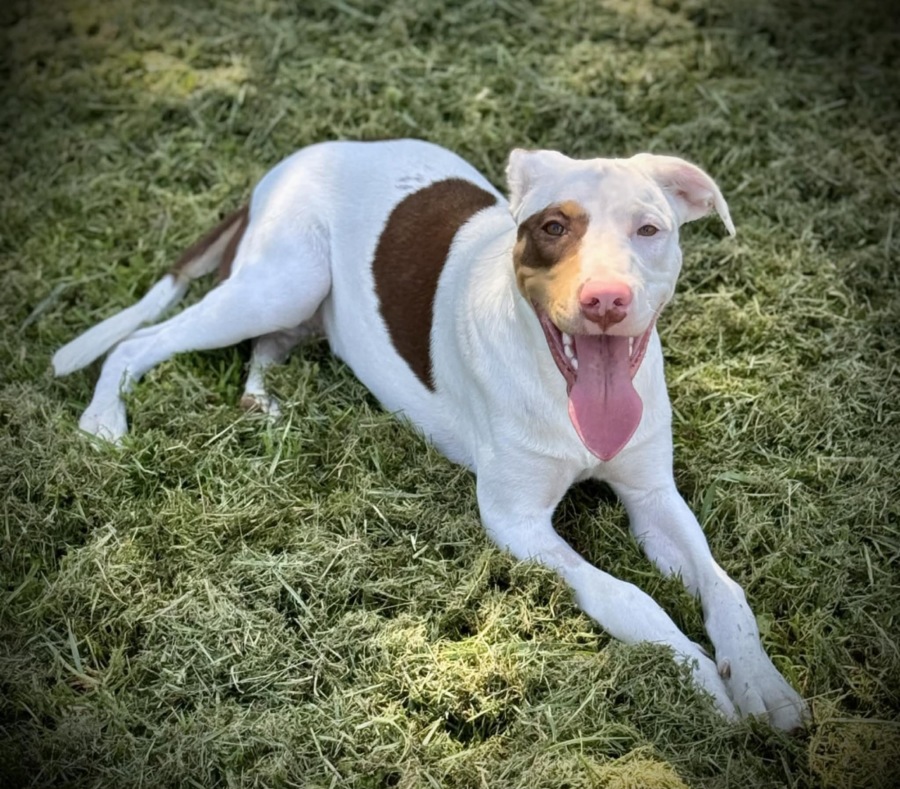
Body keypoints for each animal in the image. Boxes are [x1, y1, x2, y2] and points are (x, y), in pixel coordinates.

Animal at [53, 139, 808, 729]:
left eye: (649, 229)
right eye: (553, 227)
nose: (605, 301)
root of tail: (292, 161)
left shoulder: (652, 496)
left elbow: (724, 588)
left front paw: (763, 684)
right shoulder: (515, 522)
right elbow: (628, 596)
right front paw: (700, 678)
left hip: (295, 300)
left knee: (267, 345)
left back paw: (260, 401)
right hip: (281, 281)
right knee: (142, 342)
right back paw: (103, 419)